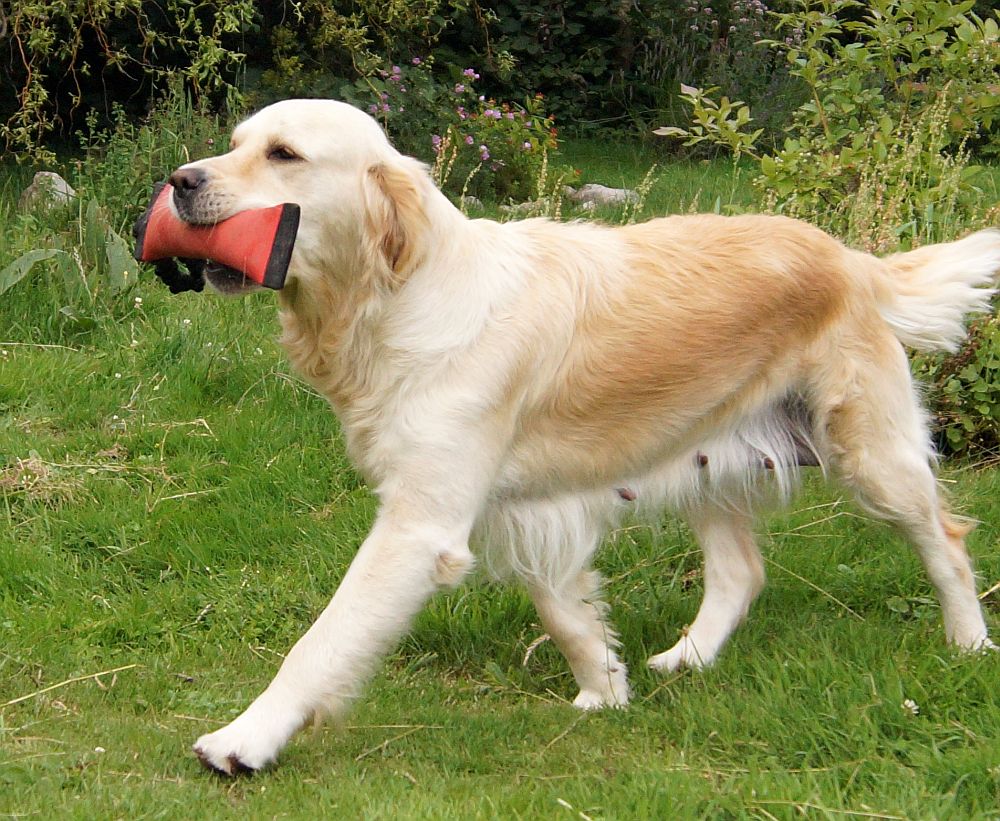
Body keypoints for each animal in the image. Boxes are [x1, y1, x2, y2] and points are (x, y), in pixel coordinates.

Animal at [164, 99, 1000, 774]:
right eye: (236, 143)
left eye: (283, 154)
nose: (179, 180)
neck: (397, 299)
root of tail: (851, 259)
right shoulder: (524, 505)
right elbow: (566, 613)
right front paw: (605, 689)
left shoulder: (419, 525)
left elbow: (322, 640)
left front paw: (244, 738)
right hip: (701, 449)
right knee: (741, 571)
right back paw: (687, 658)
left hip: (872, 456)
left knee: (946, 543)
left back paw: (969, 644)